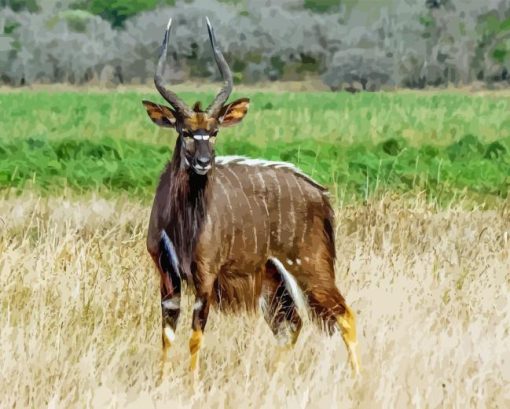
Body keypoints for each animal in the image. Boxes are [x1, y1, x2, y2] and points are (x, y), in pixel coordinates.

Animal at [141, 18, 360, 372]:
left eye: (214, 131)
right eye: (185, 131)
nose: (204, 162)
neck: (182, 223)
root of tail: (320, 194)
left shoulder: (205, 276)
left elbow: (195, 337)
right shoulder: (167, 276)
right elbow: (167, 336)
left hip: (310, 268)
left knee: (344, 315)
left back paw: (358, 380)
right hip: (273, 280)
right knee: (292, 325)